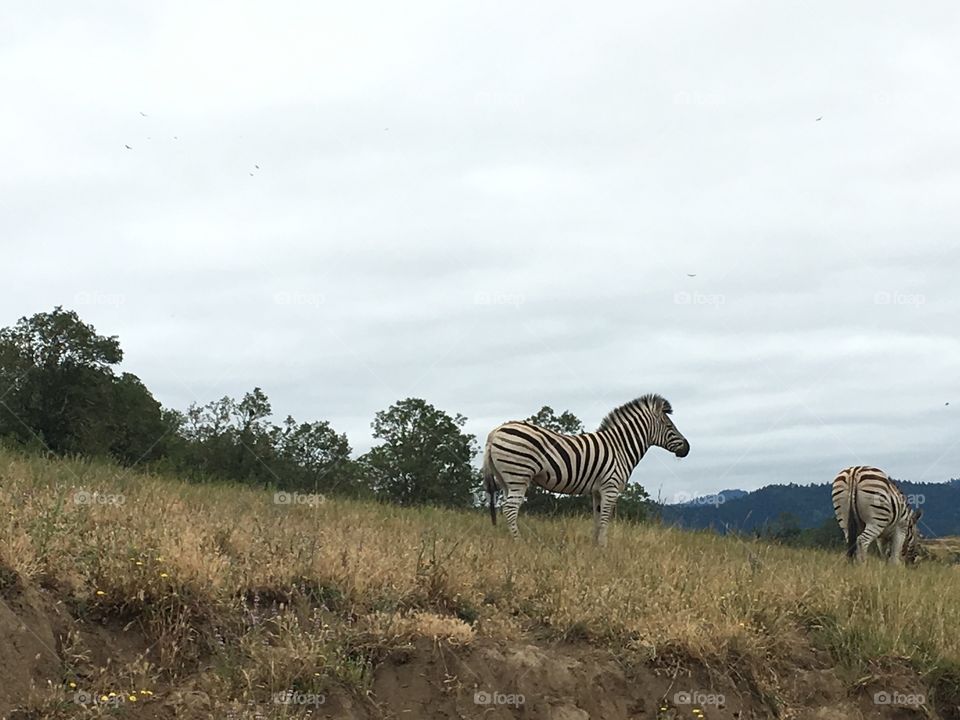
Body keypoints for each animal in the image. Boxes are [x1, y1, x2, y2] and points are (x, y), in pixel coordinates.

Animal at [483, 394, 689, 546]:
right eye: (670, 426)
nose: (687, 448)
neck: (620, 447)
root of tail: (495, 432)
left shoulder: (597, 490)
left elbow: (597, 519)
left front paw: (595, 548)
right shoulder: (610, 487)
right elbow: (605, 519)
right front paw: (604, 548)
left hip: (506, 479)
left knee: (507, 508)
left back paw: (508, 539)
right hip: (519, 475)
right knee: (510, 508)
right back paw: (520, 543)